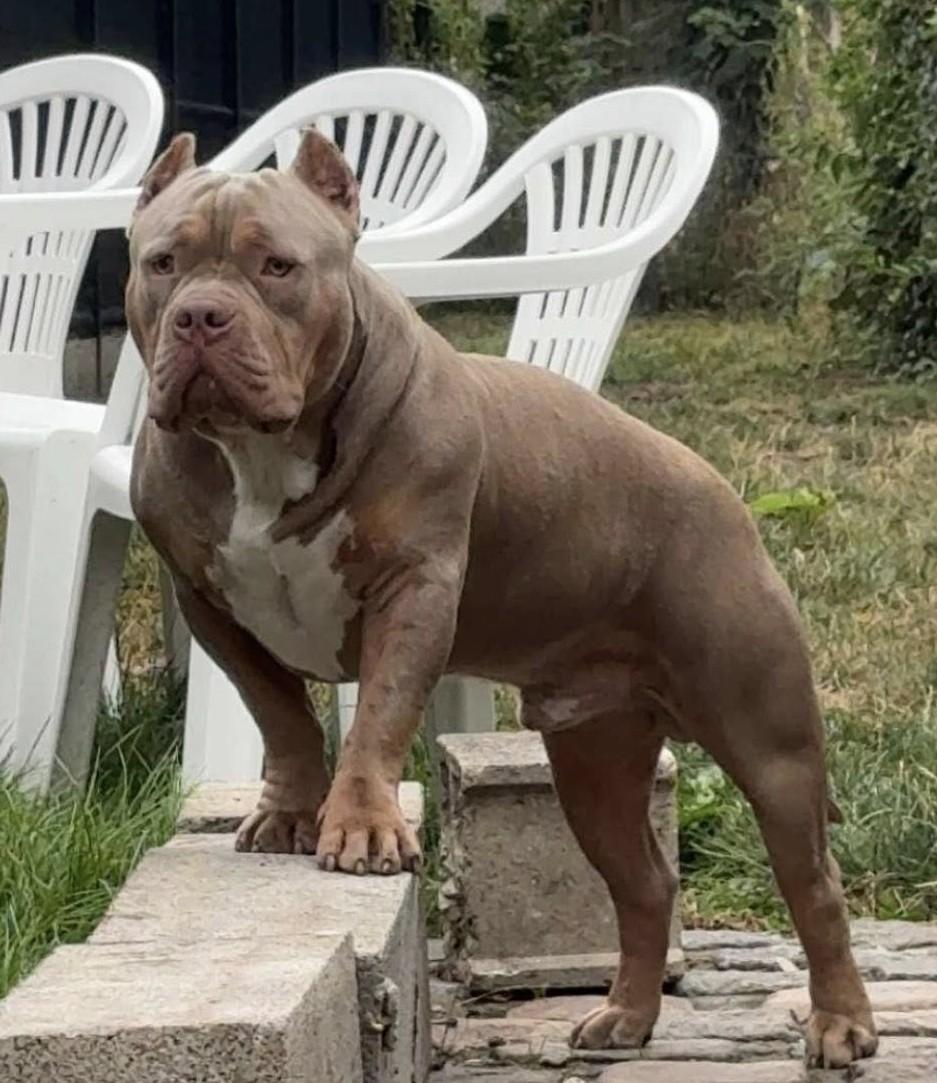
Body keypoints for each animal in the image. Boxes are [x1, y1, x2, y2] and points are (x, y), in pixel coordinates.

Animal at [126, 128, 877, 1068]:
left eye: (277, 266)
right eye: (161, 262)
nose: (200, 316)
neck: (262, 453)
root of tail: (720, 490)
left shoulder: (413, 591)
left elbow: (376, 715)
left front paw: (361, 827)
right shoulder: (209, 604)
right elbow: (282, 715)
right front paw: (292, 811)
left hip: (768, 744)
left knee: (813, 884)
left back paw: (840, 1023)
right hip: (593, 764)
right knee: (644, 883)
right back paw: (624, 1016)